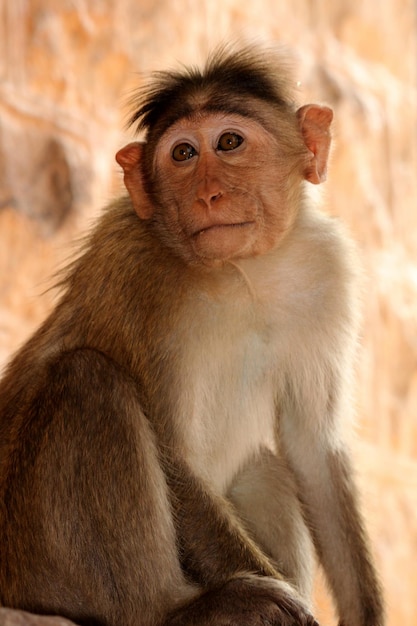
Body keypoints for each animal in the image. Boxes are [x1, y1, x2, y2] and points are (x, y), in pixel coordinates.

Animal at [0, 44, 384, 624]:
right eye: (182, 154)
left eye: (228, 143)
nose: (208, 195)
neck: (244, 273)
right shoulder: (136, 269)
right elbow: (172, 454)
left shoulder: (327, 269)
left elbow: (313, 450)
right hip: (33, 561)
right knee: (87, 380)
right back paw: (176, 609)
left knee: (265, 470)